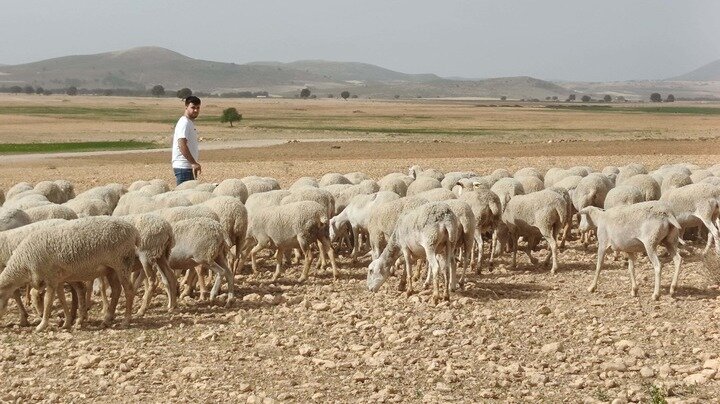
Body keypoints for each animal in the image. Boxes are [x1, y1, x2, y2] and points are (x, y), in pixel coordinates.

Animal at [0, 216, 139, 330]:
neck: (24, 264)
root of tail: (133, 230)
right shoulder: (58, 279)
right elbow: (62, 299)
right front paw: (67, 323)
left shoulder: (51, 278)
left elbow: (48, 301)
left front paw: (42, 325)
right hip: (110, 269)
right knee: (116, 290)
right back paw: (106, 319)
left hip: (122, 262)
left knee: (129, 290)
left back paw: (126, 321)